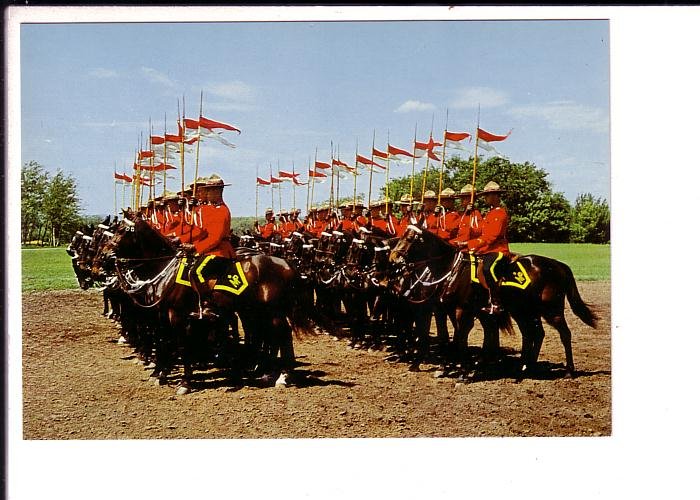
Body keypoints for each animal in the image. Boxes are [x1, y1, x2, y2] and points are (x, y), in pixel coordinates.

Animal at [388, 225, 596, 376]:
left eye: (409, 238)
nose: (393, 258)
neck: (452, 270)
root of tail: (558, 264)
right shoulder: (447, 309)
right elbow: (452, 336)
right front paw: (450, 365)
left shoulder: (461, 310)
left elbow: (459, 337)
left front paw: (461, 369)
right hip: (524, 311)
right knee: (534, 335)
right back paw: (525, 367)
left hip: (551, 310)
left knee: (564, 334)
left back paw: (568, 370)